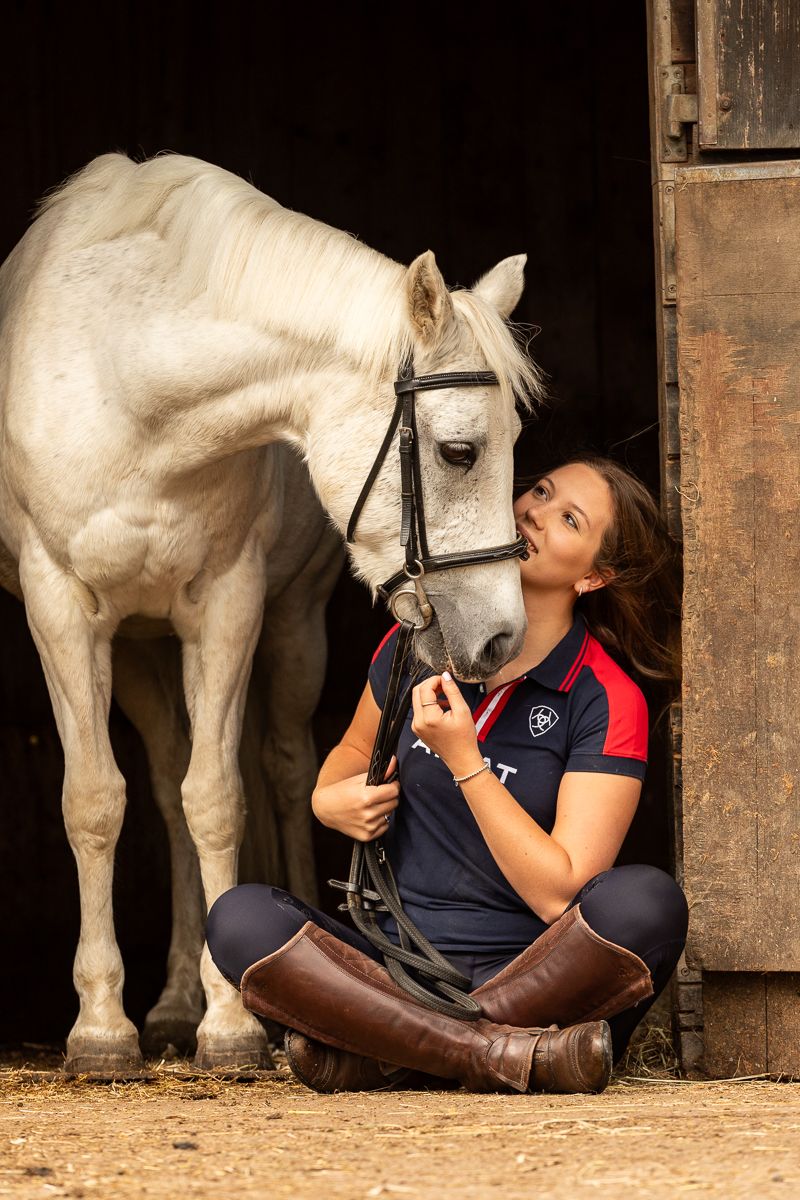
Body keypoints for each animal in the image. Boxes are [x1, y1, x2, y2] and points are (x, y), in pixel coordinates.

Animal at [0, 152, 542, 1074]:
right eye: (459, 451)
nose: (503, 635)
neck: (127, 377)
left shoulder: (230, 602)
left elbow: (219, 796)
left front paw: (234, 1022)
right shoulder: (61, 607)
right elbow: (97, 801)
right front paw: (103, 1028)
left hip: (290, 630)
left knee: (284, 770)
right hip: (141, 648)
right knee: (163, 783)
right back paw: (171, 1003)